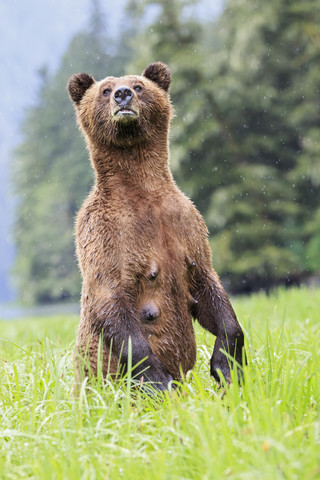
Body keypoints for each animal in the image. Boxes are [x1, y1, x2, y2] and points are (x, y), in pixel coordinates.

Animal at [66, 62, 244, 392]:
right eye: (105, 90)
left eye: (138, 86)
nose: (122, 94)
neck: (143, 192)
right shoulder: (104, 234)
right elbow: (110, 298)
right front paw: (158, 379)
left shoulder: (187, 224)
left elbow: (209, 286)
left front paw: (226, 364)